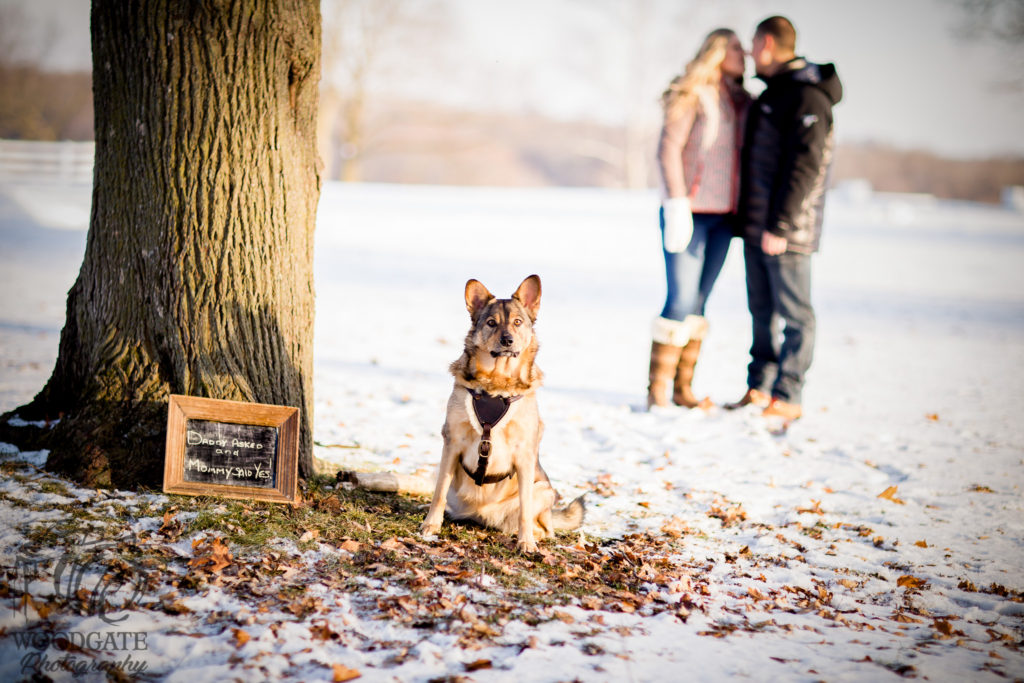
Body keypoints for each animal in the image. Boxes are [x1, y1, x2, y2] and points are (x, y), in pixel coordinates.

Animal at [419, 274, 585, 552]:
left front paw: (526, 542)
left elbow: (525, 510)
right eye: (491, 323)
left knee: (543, 526)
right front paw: (431, 525)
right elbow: (439, 493)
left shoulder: (525, 453)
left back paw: (531, 534)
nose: (507, 340)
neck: (496, 385)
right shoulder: (452, 443)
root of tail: (480, 515)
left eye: (517, 322)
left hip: (544, 490)